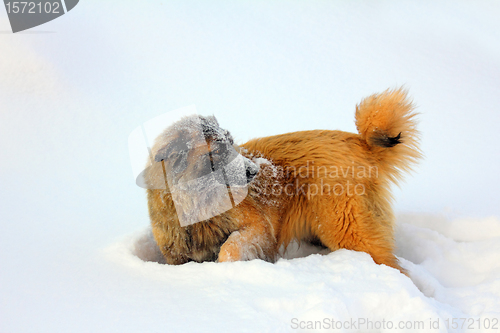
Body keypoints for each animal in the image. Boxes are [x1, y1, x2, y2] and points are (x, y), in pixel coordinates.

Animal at [144, 87, 418, 272]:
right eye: (219, 151)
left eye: (232, 144)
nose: (254, 171)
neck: (197, 207)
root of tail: (359, 140)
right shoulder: (177, 256)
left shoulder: (259, 228)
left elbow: (229, 247)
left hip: (345, 227)